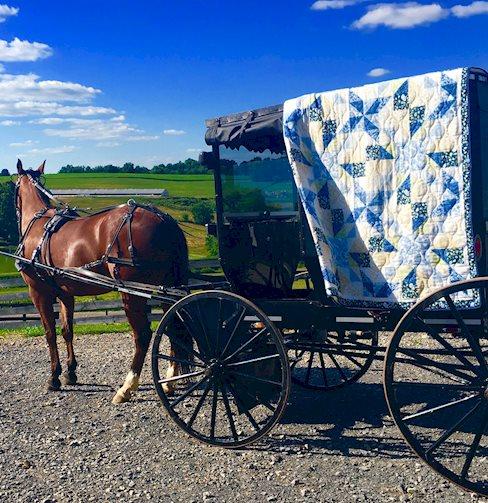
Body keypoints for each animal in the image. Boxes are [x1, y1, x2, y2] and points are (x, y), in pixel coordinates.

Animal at [13, 161, 189, 406]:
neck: (39, 226)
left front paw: (54, 377)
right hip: (166, 289)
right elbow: (67, 330)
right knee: (173, 327)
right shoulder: (65, 293)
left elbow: (49, 333)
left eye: (14, 187)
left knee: (143, 335)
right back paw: (170, 380)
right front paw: (71, 373)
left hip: (132, 293)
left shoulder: (38, 292)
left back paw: (127, 387)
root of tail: (165, 219)